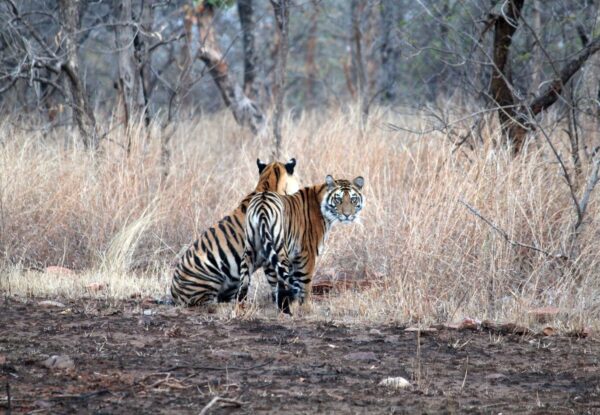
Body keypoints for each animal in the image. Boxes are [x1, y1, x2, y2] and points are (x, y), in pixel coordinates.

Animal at [170, 158, 298, 306]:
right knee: (206, 301)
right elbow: (276, 280)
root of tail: (173, 293)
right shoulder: (271, 254)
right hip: (209, 277)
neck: (267, 185)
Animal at [240, 174, 366, 314]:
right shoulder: (307, 253)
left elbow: (289, 282)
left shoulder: (293, 257)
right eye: (338, 199)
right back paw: (286, 310)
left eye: (353, 199)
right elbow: (304, 283)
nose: (347, 215)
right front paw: (305, 308)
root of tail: (262, 203)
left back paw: (240, 310)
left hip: (250, 251)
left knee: (245, 283)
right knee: (281, 281)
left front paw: (292, 305)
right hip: (279, 250)